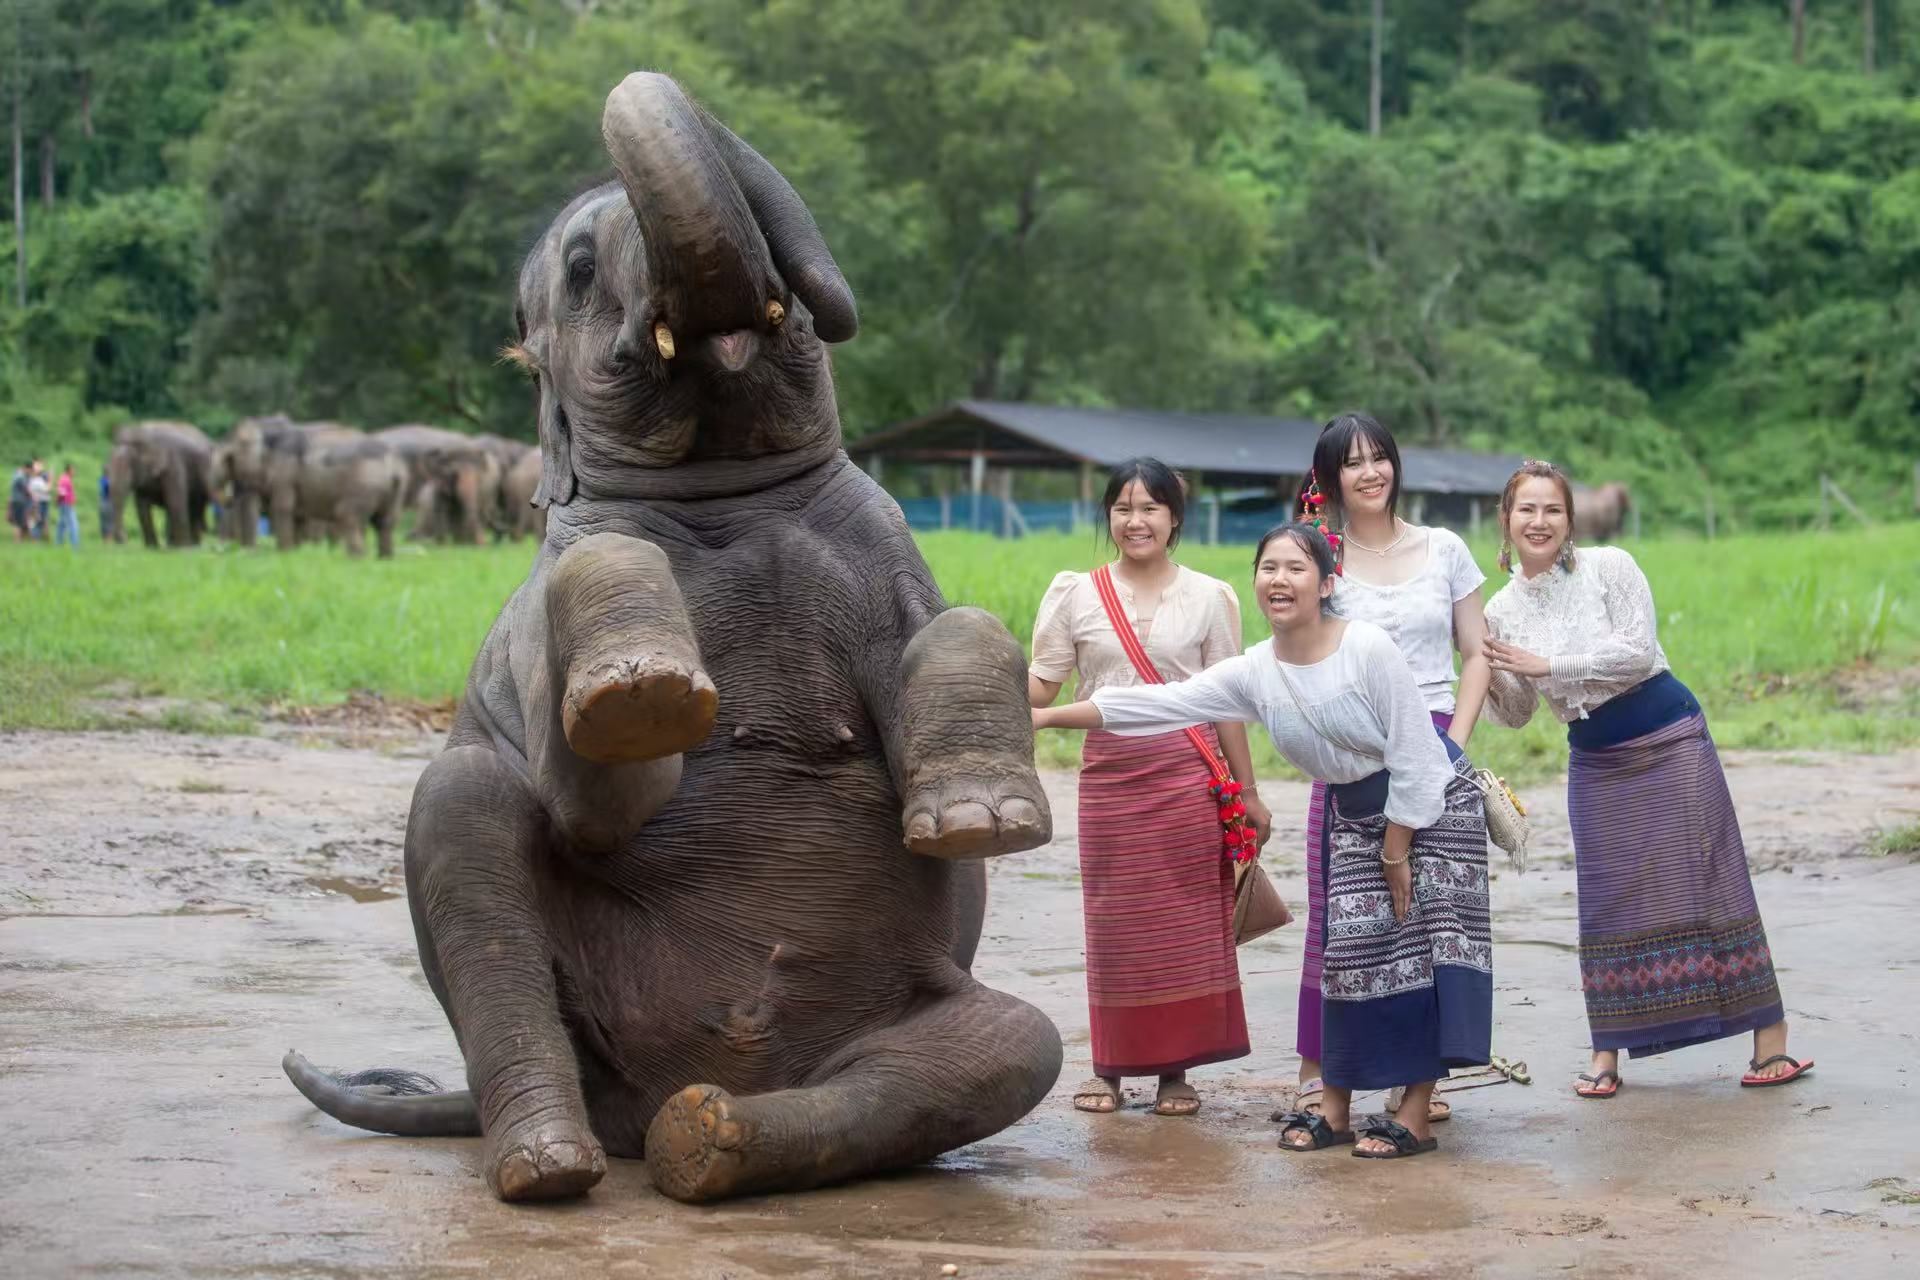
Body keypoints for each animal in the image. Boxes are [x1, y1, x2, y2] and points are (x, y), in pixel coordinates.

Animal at [283, 71, 1061, 1208]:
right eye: (578, 270)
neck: (723, 492)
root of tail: (642, 1105)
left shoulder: (885, 545)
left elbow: (955, 621)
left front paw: (980, 824)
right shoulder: (535, 636)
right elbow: (590, 800)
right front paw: (643, 696)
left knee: (1010, 1047)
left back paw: (708, 1139)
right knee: (464, 815)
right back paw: (548, 1165)